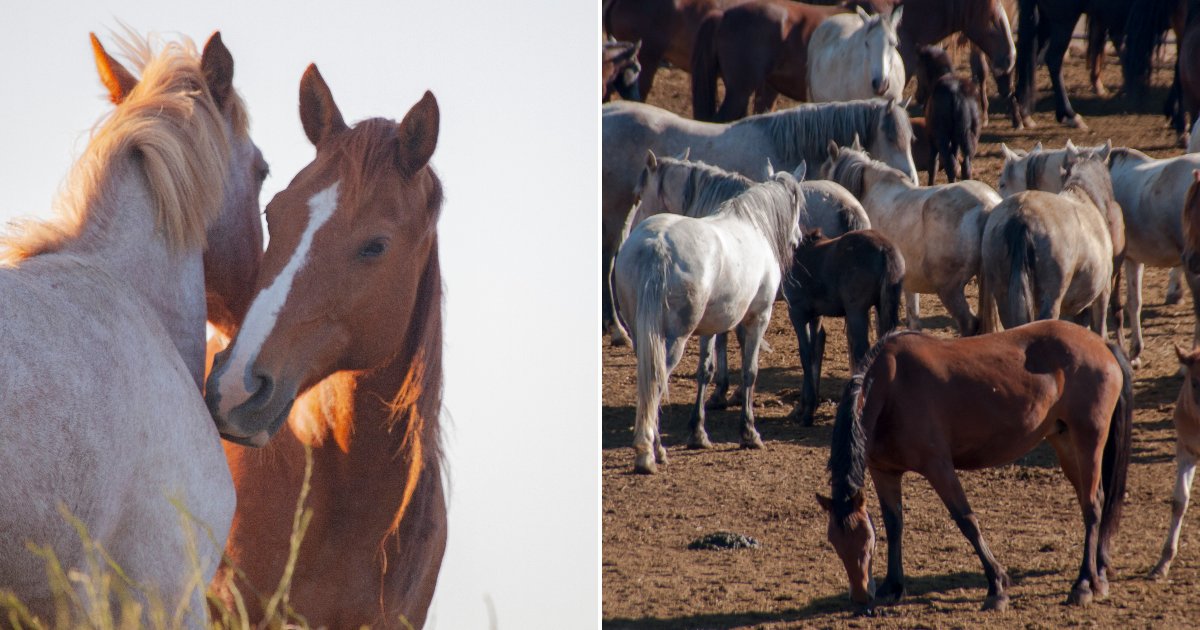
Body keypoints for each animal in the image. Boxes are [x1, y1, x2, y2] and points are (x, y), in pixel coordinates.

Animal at [612, 170, 805, 474]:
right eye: (799, 205)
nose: (798, 239)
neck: (753, 225)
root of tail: (658, 245)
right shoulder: (759, 318)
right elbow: (750, 372)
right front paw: (749, 433)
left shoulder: (710, 327)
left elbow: (705, 371)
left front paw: (698, 433)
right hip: (674, 340)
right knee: (657, 382)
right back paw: (649, 453)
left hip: (642, 336)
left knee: (648, 382)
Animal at [783, 228, 904, 426]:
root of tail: (884, 248)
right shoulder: (815, 317)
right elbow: (815, 353)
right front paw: (809, 407)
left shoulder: (797, 314)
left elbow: (805, 356)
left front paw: (807, 413)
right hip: (883, 307)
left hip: (857, 312)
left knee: (862, 352)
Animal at [818, 321, 1132, 610]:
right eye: (834, 542)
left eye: (867, 541)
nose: (860, 597)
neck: (890, 388)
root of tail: (1101, 344)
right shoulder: (884, 472)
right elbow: (895, 525)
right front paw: (892, 587)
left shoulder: (938, 467)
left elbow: (966, 521)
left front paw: (997, 586)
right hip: (1065, 442)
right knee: (1093, 501)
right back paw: (1099, 575)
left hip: (1088, 439)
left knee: (1092, 506)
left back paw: (1083, 584)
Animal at [917, 46, 982, 184]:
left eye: (918, 69)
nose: (918, 96)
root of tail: (957, 94)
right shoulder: (956, 140)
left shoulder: (932, 138)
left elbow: (933, 164)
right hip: (971, 136)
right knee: (966, 165)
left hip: (942, 137)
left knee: (950, 164)